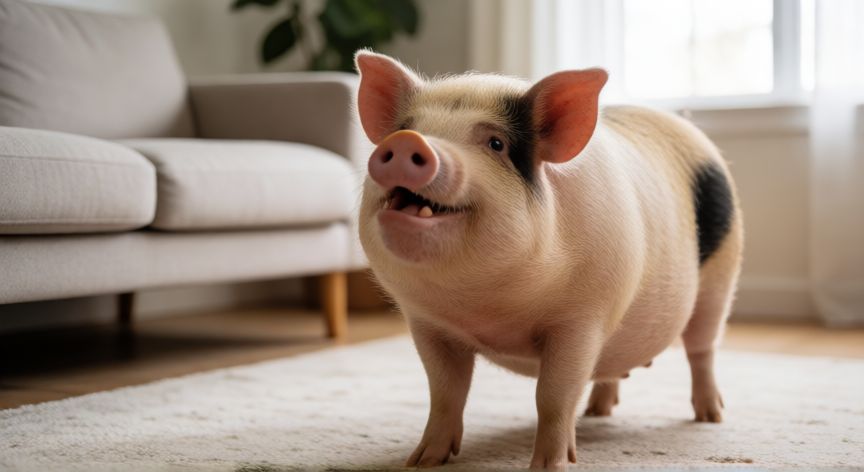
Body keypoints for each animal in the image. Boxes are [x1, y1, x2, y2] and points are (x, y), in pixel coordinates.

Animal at [354, 51, 743, 469]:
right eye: (405, 127)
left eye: (496, 143)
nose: (408, 141)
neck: (484, 308)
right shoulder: (427, 323)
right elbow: (445, 392)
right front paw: (421, 461)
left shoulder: (583, 318)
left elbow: (554, 396)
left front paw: (549, 465)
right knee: (610, 370)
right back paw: (598, 412)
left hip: (721, 277)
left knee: (702, 350)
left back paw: (711, 416)